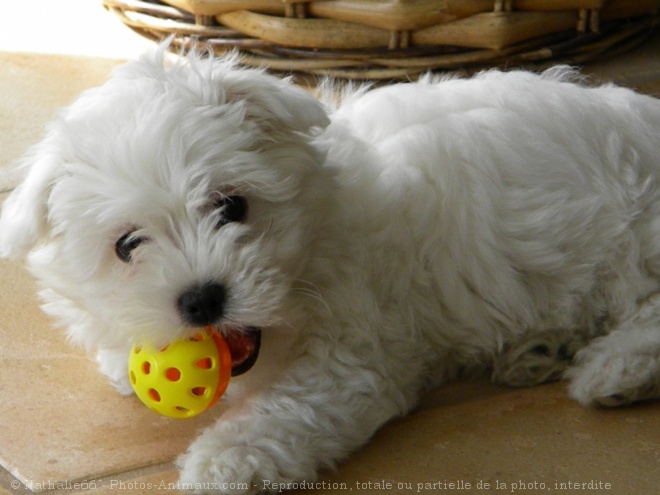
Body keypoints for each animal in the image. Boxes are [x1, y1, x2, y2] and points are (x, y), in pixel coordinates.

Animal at [1, 44, 660, 494]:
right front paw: (124, 360)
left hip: (634, 241)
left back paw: (614, 371)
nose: (202, 300)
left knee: (647, 312)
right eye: (127, 245)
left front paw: (221, 462)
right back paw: (540, 351)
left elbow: (291, 409)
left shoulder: (355, 353)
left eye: (231, 206)